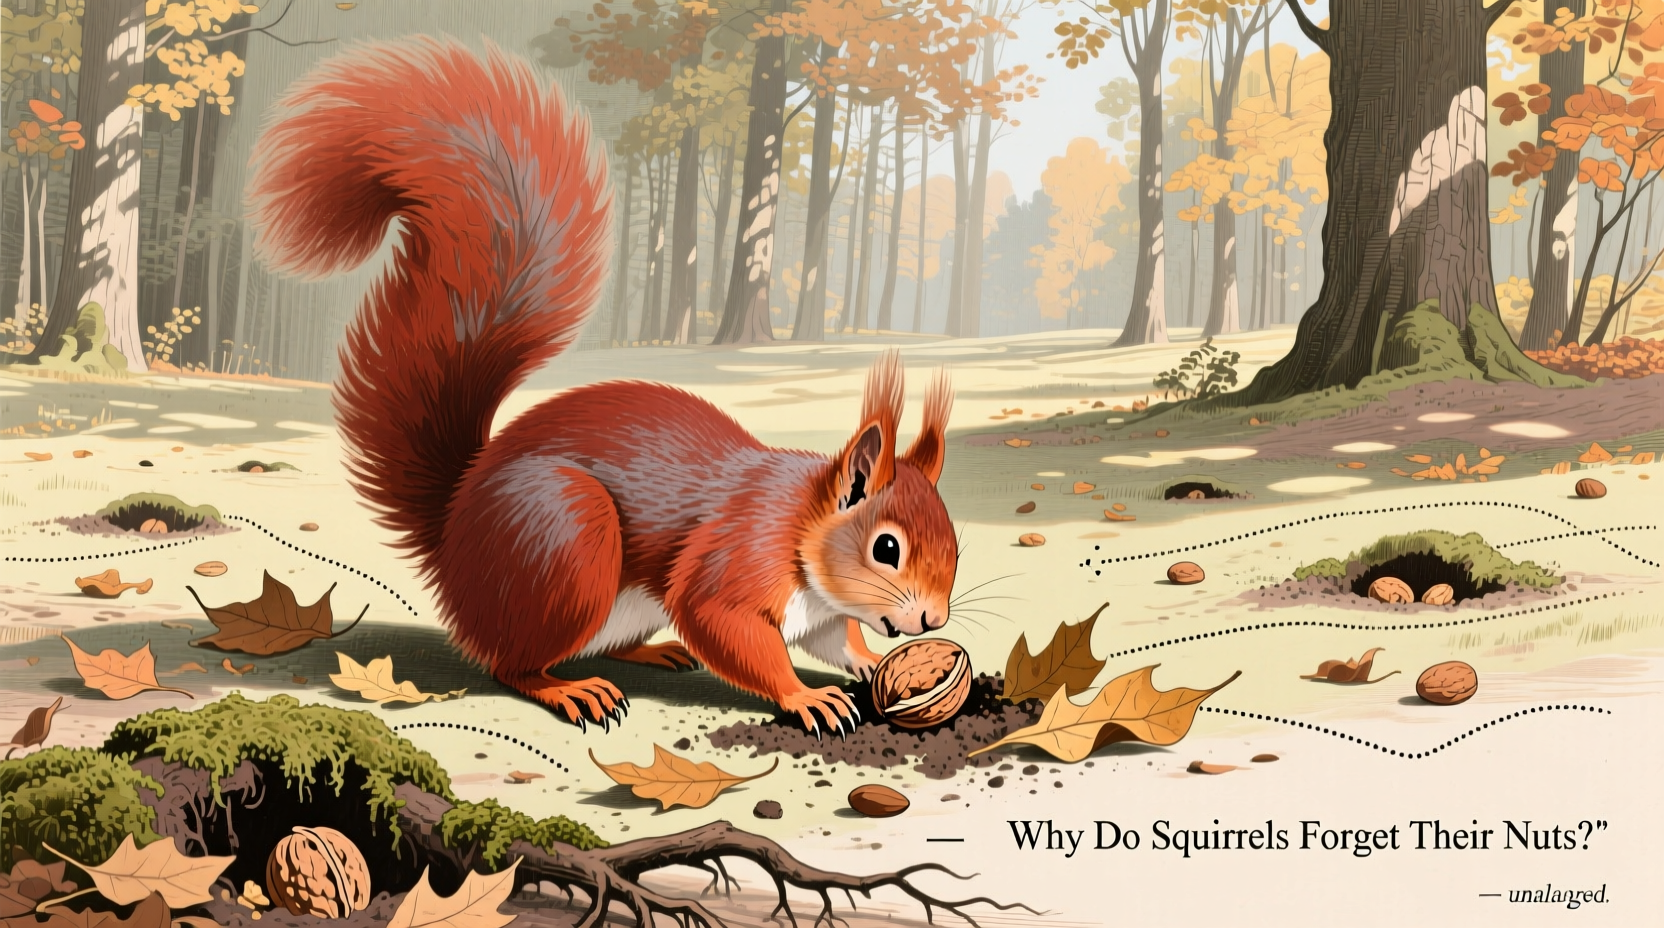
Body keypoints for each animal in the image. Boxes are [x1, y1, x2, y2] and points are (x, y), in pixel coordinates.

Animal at [247, 39, 959, 734]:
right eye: (886, 547)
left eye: (955, 539)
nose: (934, 621)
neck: (799, 526)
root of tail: (453, 537)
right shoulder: (734, 560)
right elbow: (724, 626)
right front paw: (804, 695)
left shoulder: (822, 613)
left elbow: (837, 640)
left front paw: (871, 663)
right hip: (568, 534)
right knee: (510, 664)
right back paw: (571, 689)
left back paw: (651, 652)